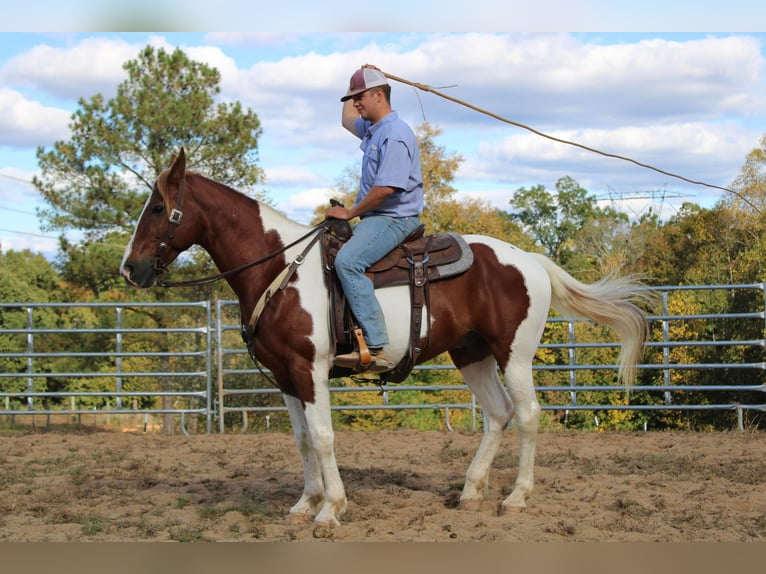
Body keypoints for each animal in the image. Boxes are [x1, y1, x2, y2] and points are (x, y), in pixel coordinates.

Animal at [123, 150, 652, 532]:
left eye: (157, 207)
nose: (130, 269)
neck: (279, 268)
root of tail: (530, 260)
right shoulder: (286, 376)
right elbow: (302, 440)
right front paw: (305, 502)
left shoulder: (310, 371)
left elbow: (323, 437)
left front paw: (330, 509)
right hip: (471, 353)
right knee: (498, 414)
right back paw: (470, 491)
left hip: (514, 356)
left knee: (527, 416)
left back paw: (516, 497)